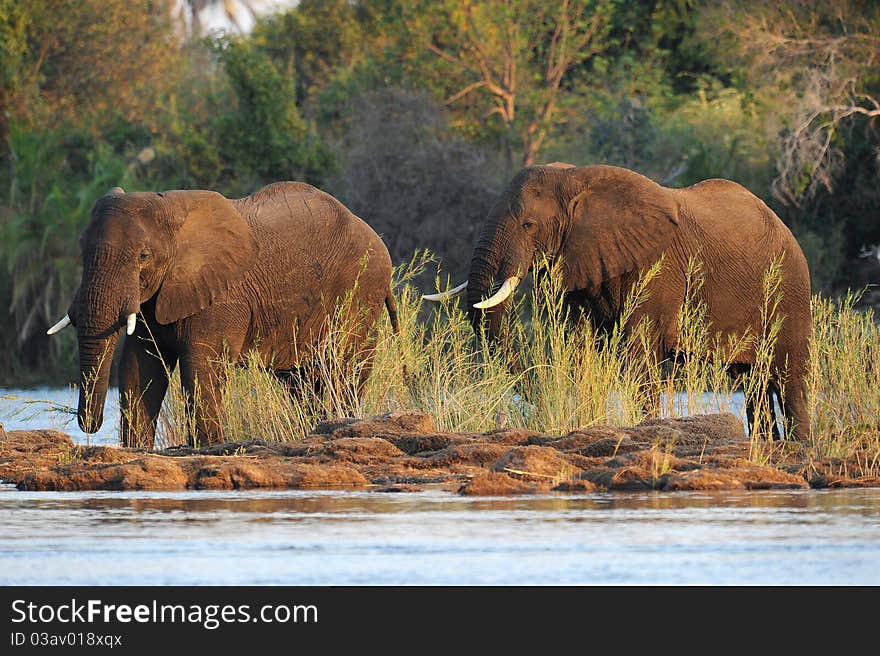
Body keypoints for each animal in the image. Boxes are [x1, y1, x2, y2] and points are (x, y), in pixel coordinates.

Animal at [44, 182, 396, 448]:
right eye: (82, 251)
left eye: (143, 256)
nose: (89, 425)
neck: (172, 210)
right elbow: (139, 367)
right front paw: (137, 450)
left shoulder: (221, 296)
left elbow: (200, 368)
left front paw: (210, 447)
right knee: (302, 380)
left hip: (362, 292)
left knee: (342, 369)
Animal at [422, 164, 816, 440]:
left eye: (528, 225)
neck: (574, 179)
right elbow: (578, 343)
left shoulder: (659, 267)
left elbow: (639, 353)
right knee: (753, 381)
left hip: (790, 289)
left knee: (788, 377)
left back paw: (799, 446)